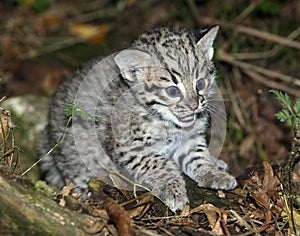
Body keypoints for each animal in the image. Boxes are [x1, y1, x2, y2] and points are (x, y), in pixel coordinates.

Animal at [39, 25, 237, 210]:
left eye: (200, 84)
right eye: (172, 91)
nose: (195, 106)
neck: (167, 122)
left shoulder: (189, 139)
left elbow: (198, 156)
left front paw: (213, 172)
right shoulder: (128, 147)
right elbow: (157, 163)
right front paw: (172, 188)